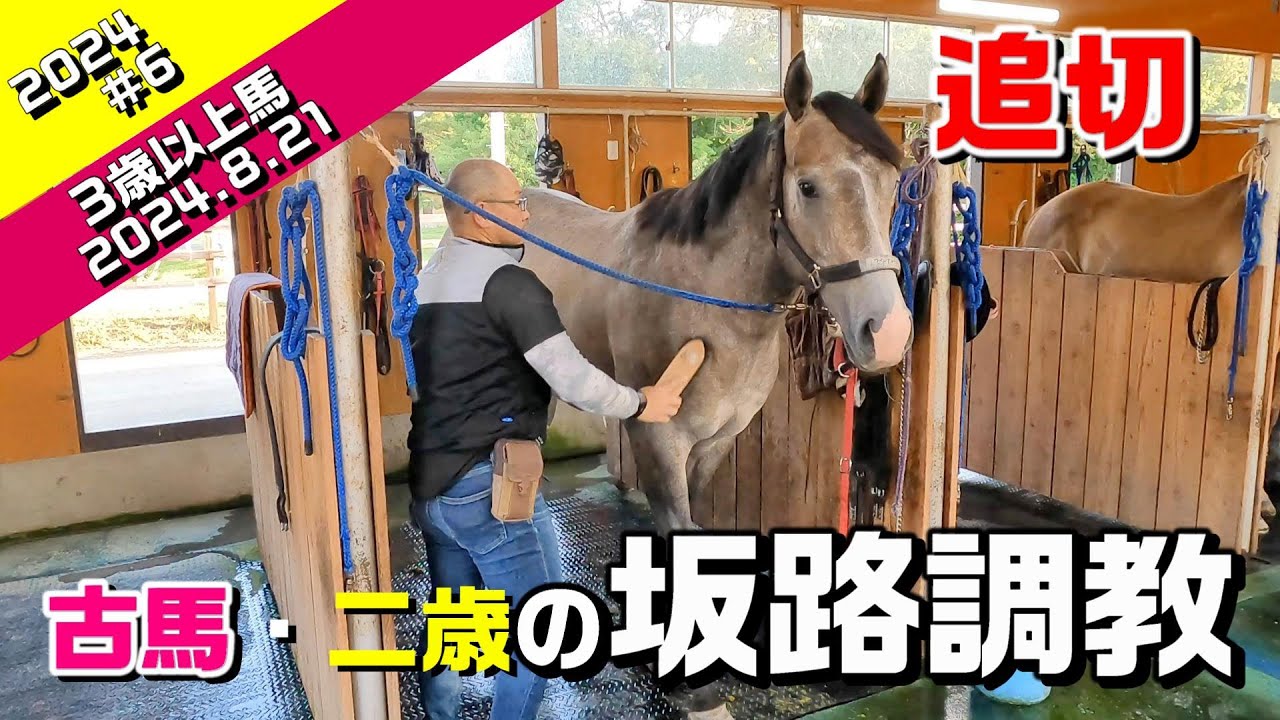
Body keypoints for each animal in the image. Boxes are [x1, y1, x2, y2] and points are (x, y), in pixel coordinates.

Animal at [520, 51, 912, 718]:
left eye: (891, 184)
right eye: (807, 188)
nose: (886, 334)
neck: (702, 298)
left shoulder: (716, 440)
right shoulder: (661, 439)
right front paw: (697, 686)